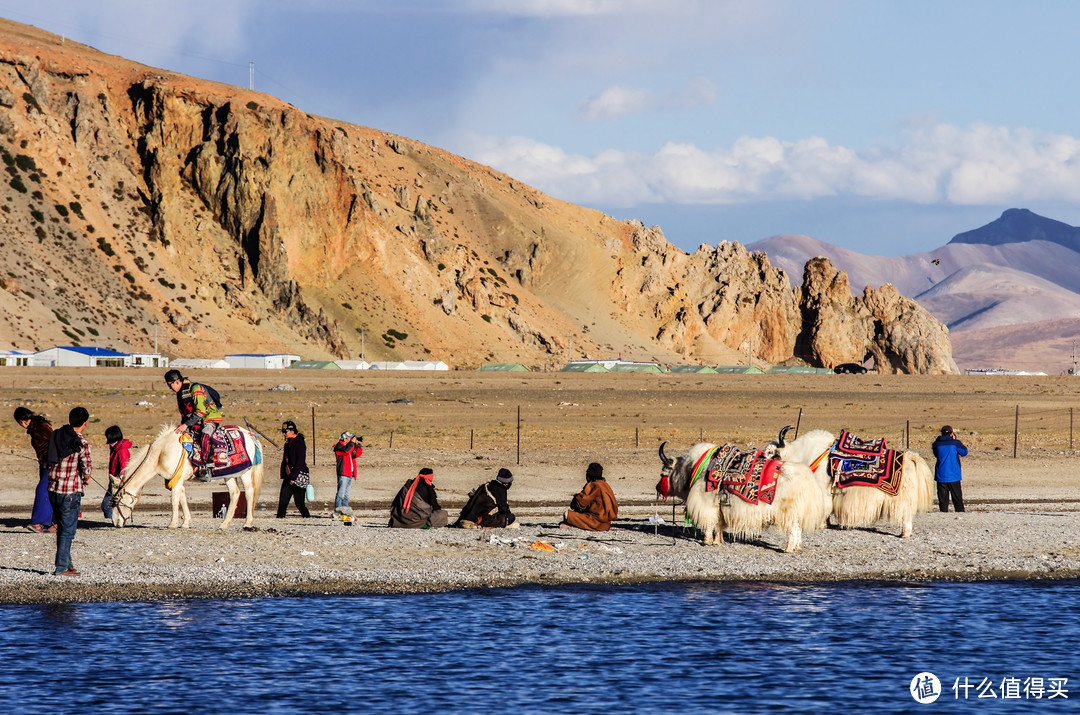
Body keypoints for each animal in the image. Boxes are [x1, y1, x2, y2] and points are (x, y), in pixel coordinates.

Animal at [112, 425, 265, 531]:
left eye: (117, 500)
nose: (115, 523)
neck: (162, 453)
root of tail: (250, 434)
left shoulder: (177, 480)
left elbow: (174, 500)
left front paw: (172, 524)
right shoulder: (175, 480)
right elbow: (182, 498)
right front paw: (185, 523)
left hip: (245, 473)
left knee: (249, 492)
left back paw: (247, 523)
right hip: (229, 474)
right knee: (235, 493)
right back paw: (224, 524)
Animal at [656, 442, 825, 552]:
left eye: (663, 472)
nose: (657, 487)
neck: (692, 469)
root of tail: (808, 479)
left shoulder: (706, 503)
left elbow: (709, 524)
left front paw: (707, 541)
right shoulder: (720, 507)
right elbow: (718, 524)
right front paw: (718, 541)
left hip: (789, 511)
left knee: (793, 529)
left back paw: (788, 548)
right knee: (798, 529)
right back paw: (796, 547)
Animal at [764, 425, 933, 537]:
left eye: (772, 453)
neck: (805, 454)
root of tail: (910, 457)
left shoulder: (823, 490)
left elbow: (825, 507)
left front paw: (821, 525)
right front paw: (827, 523)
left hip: (901, 498)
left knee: (906, 515)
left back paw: (904, 534)